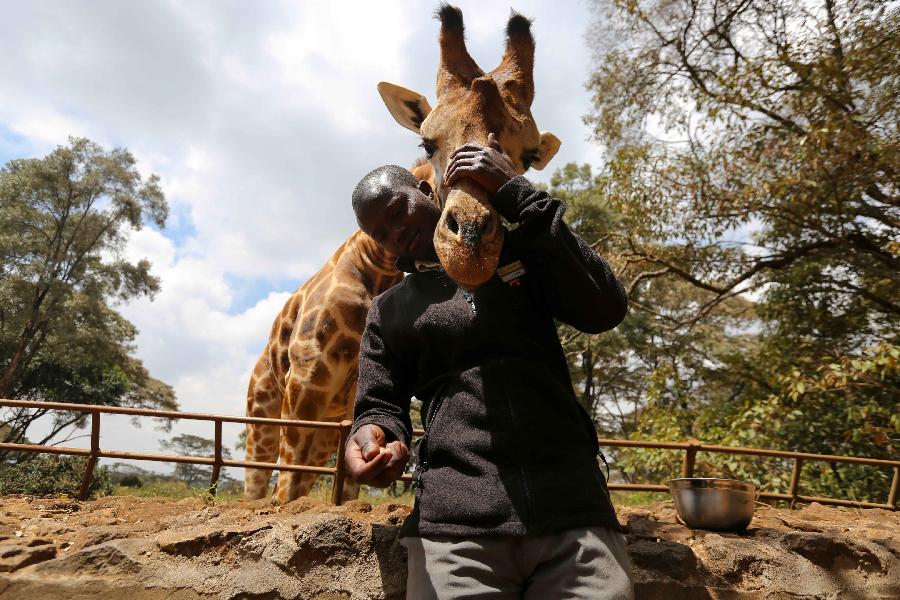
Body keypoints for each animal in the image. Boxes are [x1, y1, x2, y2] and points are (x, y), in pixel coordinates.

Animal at [243, 3, 560, 502]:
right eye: (426, 142)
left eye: (528, 156)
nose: (469, 250)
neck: (374, 271)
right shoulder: (305, 385)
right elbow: (286, 493)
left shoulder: (347, 409)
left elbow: (345, 491)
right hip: (263, 413)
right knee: (257, 488)